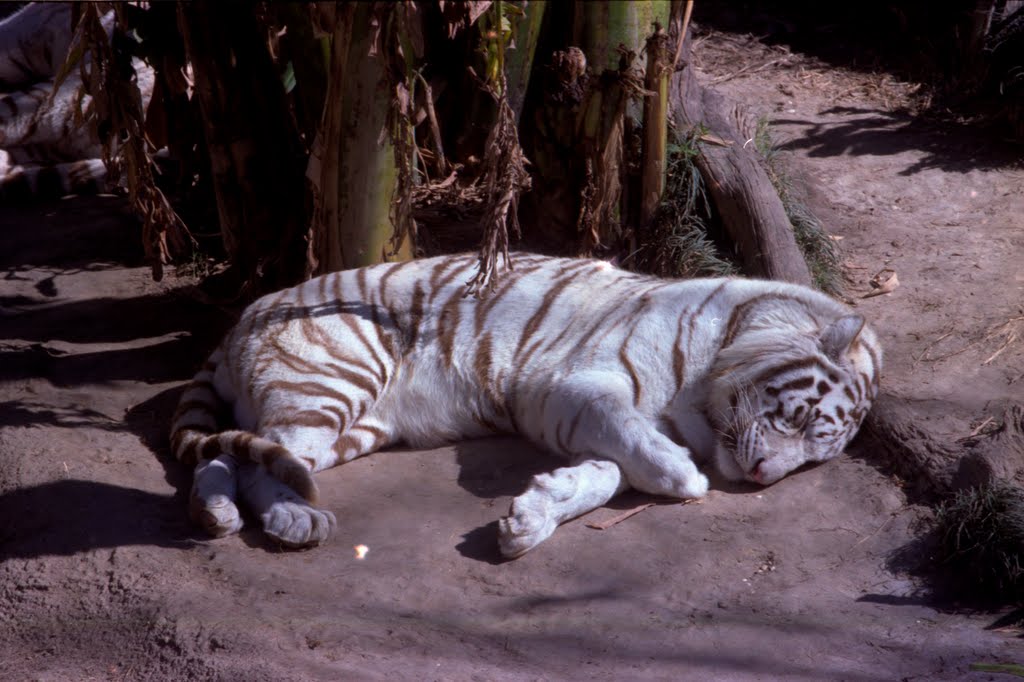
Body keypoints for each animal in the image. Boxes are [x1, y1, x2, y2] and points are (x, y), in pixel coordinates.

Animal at [169, 251, 880, 557]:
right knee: (245, 461)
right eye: (797, 419)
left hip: (349, 424)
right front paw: (685, 477)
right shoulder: (573, 385)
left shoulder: (578, 415)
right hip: (334, 380)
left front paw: (532, 517)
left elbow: (609, 472)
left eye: (812, 460)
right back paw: (289, 520)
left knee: (239, 459)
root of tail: (240, 319)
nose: (762, 477)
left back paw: (229, 514)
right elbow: (641, 446)